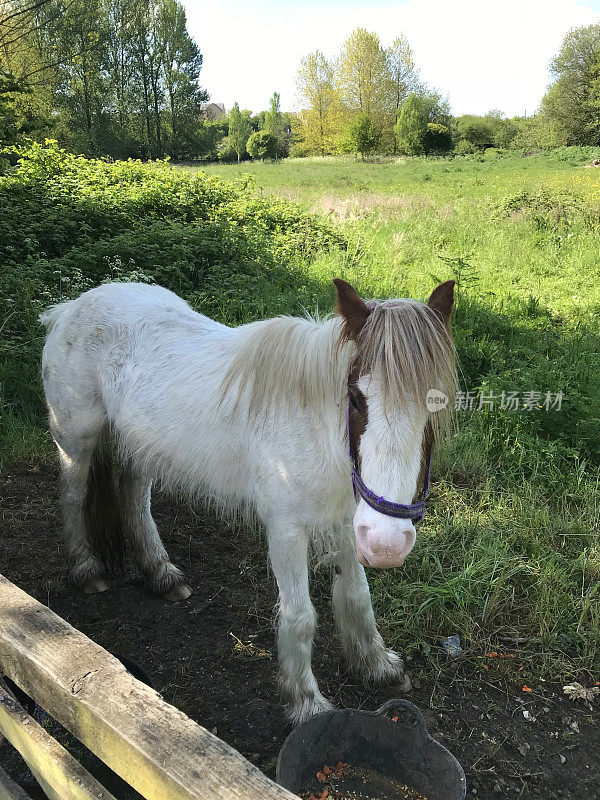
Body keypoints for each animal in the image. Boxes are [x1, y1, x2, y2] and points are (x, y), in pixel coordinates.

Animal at [41, 278, 454, 720]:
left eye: (436, 404)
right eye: (356, 399)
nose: (387, 544)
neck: (313, 424)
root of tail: (70, 307)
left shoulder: (348, 520)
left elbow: (357, 597)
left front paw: (377, 667)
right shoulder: (287, 529)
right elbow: (300, 615)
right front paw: (307, 702)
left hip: (141, 447)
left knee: (135, 498)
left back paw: (161, 573)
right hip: (77, 441)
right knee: (73, 495)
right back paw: (86, 568)